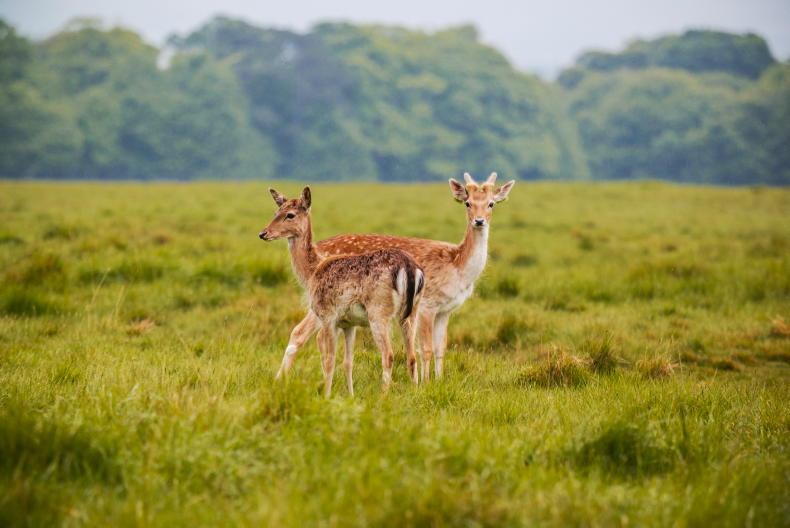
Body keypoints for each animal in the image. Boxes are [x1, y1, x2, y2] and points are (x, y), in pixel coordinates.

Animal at [258, 186, 424, 396]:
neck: (312, 272)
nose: (263, 233)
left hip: (379, 312)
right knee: (412, 356)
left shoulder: (327, 316)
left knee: (388, 354)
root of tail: (410, 268)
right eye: (275, 212)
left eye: (290, 215)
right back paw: (415, 392)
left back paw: (382, 396)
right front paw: (350, 396)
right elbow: (347, 362)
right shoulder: (348, 323)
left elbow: (328, 358)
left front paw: (326, 395)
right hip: (412, 311)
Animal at [267, 172, 515, 383]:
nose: (479, 221)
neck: (458, 268)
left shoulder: (446, 310)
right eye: (467, 202)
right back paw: (282, 380)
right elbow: (426, 349)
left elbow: (440, 348)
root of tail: (319, 251)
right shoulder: (428, 305)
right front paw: (426, 385)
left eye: (491, 203)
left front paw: (438, 382)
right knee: (300, 333)